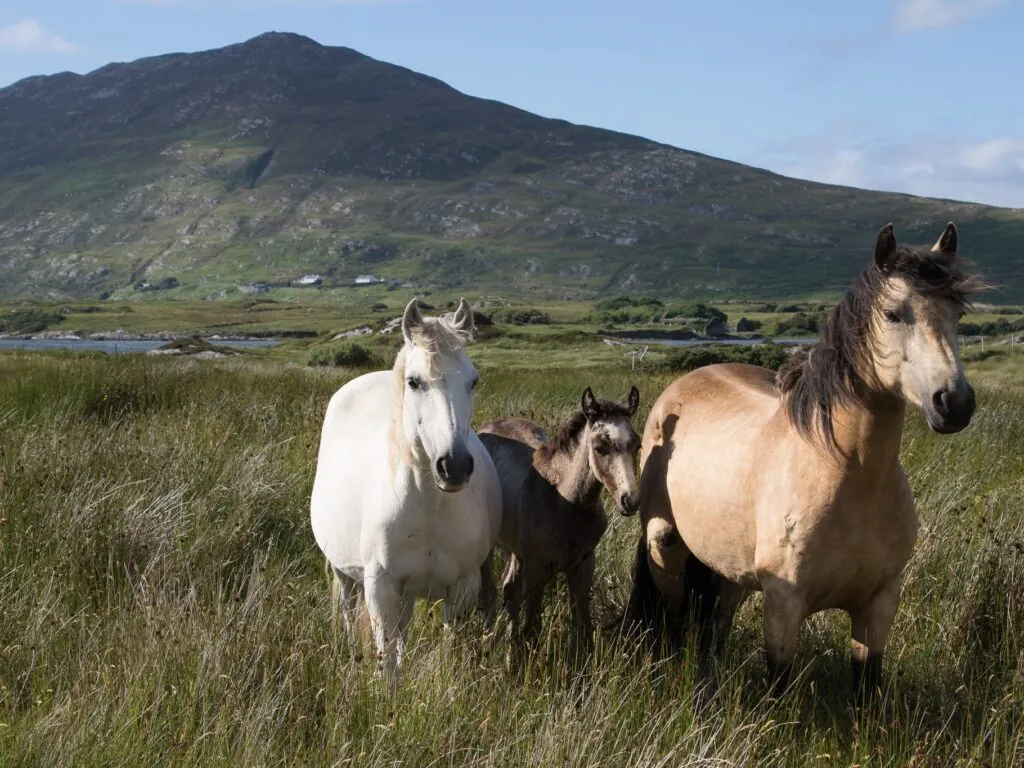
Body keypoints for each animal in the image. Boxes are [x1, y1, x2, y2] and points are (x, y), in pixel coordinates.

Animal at [310, 297, 502, 687]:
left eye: (473, 381)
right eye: (414, 382)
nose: (454, 466)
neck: (430, 506)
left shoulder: (462, 589)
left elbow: (448, 650)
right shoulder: (381, 589)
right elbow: (387, 662)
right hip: (345, 575)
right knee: (349, 617)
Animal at [478, 386, 641, 657]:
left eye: (636, 444)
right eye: (599, 447)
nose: (631, 500)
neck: (565, 502)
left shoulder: (583, 565)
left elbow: (583, 627)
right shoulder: (537, 571)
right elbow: (533, 630)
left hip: (516, 550)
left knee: (509, 589)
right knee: (489, 592)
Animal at [625, 222, 982, 699]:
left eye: (958, 315)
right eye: (893, 314)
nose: (954, 403)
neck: (850, 475)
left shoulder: (879, 605)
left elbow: (866, 688)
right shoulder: (785, 603)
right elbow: (778, 685)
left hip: (729, 571)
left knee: (713, 626)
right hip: (664, 550)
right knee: (673, 618)